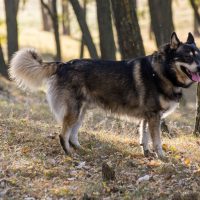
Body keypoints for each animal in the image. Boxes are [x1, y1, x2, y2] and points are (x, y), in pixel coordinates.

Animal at [8, 32, 200, 159]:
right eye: (187, 57)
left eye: (198, 56)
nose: (199, 67)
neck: (161, 71)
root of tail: (64, 64)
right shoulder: (154, 116)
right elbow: (157, 140)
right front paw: (161, 157)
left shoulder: (147, 117)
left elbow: (143, 136)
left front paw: (146, 153)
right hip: (74, 111)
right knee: (63, 135)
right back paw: (70, 154)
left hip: (82, 112)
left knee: (73, 135)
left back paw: (81, 149)